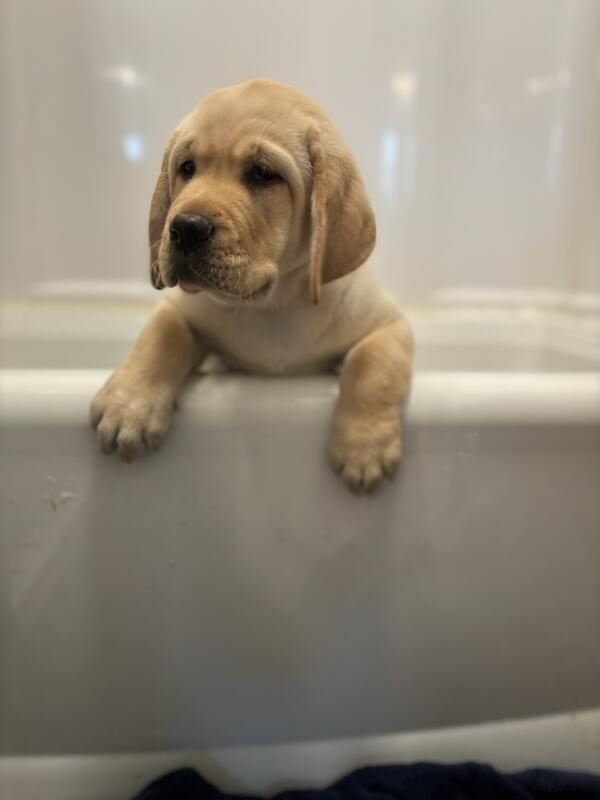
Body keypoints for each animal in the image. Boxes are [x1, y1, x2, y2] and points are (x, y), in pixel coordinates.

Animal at [91, 79, 413, 493]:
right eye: (187, 168)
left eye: (262, 174)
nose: (185, 228)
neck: (270, 306)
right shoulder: (183, 310)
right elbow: (163, 331)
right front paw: (129, 405)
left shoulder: (389, 324)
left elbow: (372, 363)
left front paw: (364, 445)